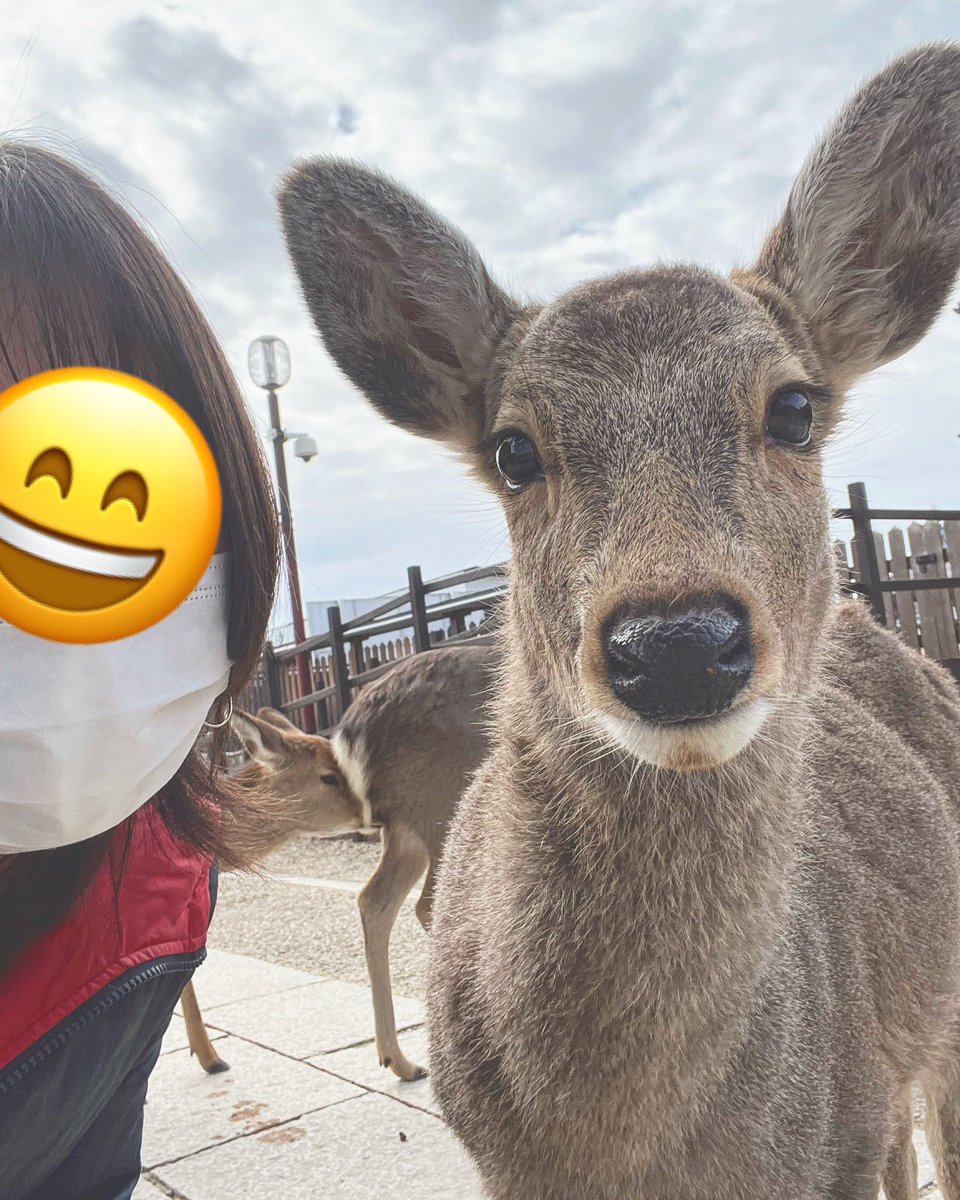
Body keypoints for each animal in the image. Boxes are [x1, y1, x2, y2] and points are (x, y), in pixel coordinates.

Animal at [183, 643, 494, 1081]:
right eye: (327, 777)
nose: (365, 805)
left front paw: (206, 1054)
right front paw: (207, 1055)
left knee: (379, 899)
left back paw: (402, 1061)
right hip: (442, 804)